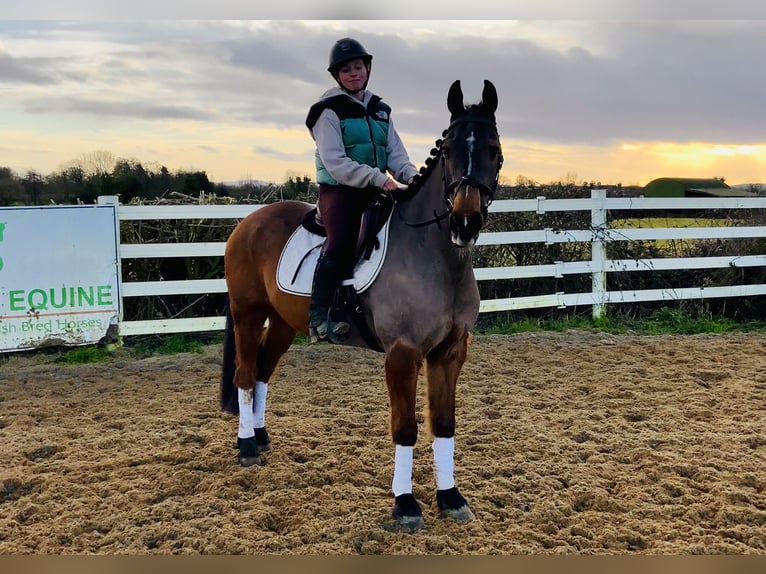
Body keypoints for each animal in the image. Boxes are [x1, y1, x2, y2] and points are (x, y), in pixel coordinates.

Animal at [220, 79, 503, 531]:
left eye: (494, 149)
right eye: (449, 151)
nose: (465, 222)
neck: (435, 255)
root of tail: (248, 222)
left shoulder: (450, 352)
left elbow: (444, 423)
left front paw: (451, 497)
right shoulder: (403, 354)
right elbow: (405, 428)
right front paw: (406, 505)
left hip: (283, 323)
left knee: (263, 371)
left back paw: (261, 438)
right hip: (249, 314)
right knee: (245, 375)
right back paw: (247, 446)